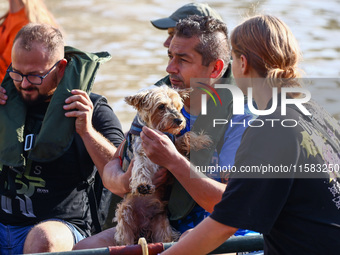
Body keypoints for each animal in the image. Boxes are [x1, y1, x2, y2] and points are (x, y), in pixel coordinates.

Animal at [115, 85, 212, 245]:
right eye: (161, 106)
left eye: (178, 107)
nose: (179, 120)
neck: (159, 131)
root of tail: (143, 225)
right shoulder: (141, 151)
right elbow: (141, 167)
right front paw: (142, 185)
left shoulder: (173, 142)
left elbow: (185, 137)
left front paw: (201, 139)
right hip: (125, 216)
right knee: (126, 241)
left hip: (162, 226)